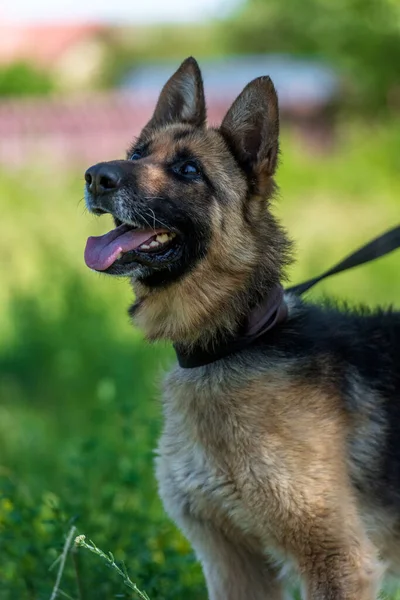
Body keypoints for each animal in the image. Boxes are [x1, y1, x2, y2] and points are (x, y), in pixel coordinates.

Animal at [84, 57, 400, 600]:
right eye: (137, 154)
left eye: (189, 170)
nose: (94, 177)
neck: (233, 341)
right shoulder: (233, 565)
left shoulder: (338, 561)